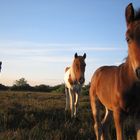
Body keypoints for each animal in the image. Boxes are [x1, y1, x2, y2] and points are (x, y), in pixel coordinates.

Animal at [89, 3, 140, 140]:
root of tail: (98, 71)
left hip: (109, 108)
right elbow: (120, 136)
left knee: (104, 125)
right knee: (97, 126)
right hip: (95, 102)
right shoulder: (119, 113)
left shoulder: (138, 114)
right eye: (127, 38)